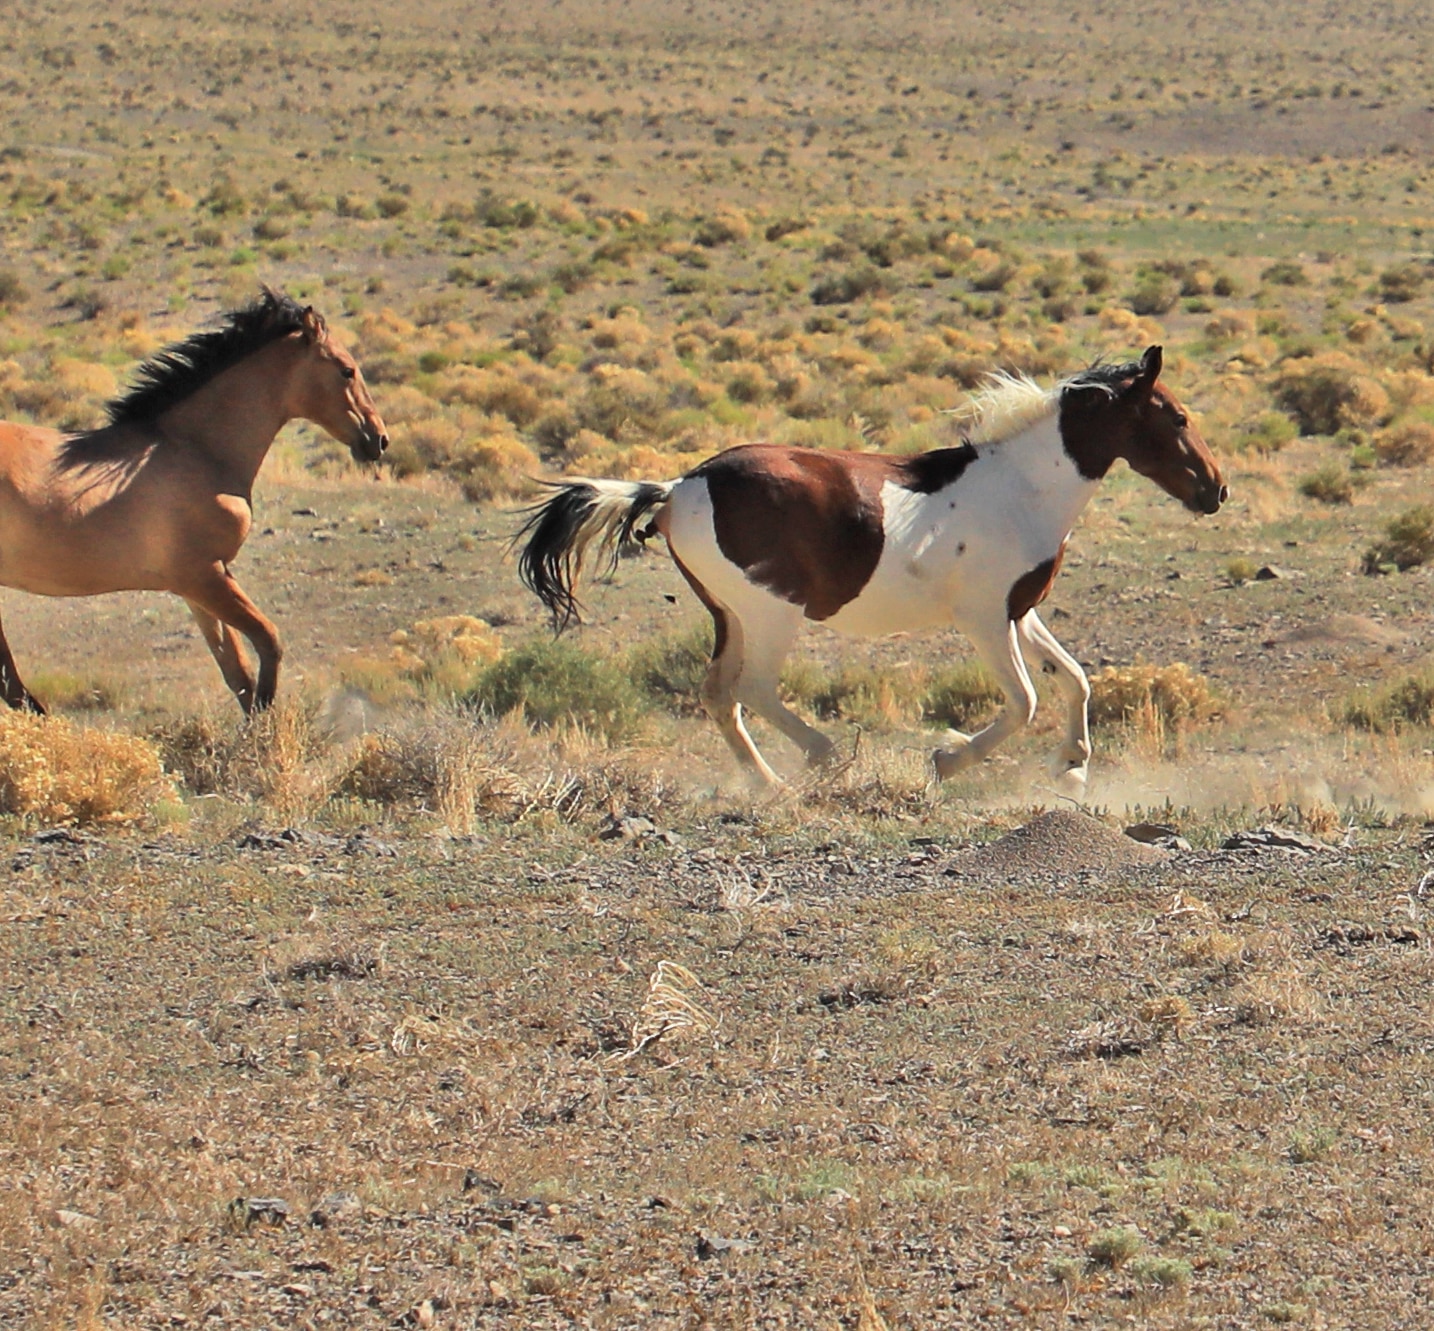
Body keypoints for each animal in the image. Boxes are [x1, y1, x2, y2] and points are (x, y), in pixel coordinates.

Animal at [0, 288, 388, 715]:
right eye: (347, 370)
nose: (379, 439)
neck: (199, 450)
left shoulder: (202, 584)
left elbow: (237, 671)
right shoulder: (203, 576)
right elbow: (268, 641)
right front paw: (268, 720)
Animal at [516, 346, 1226, 790]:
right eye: (1178, 417)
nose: (1216, 490)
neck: (1023, 487)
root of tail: (675, 489)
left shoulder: (1018, 611)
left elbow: (1074, 678)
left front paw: (1073, 767)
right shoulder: (983, 619)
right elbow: (1024, 701)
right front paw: (946, 760)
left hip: (729, 614)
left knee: (720, 695)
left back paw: (769, 784)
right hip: (771, 612)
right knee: (752, 689)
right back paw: (824, 757)